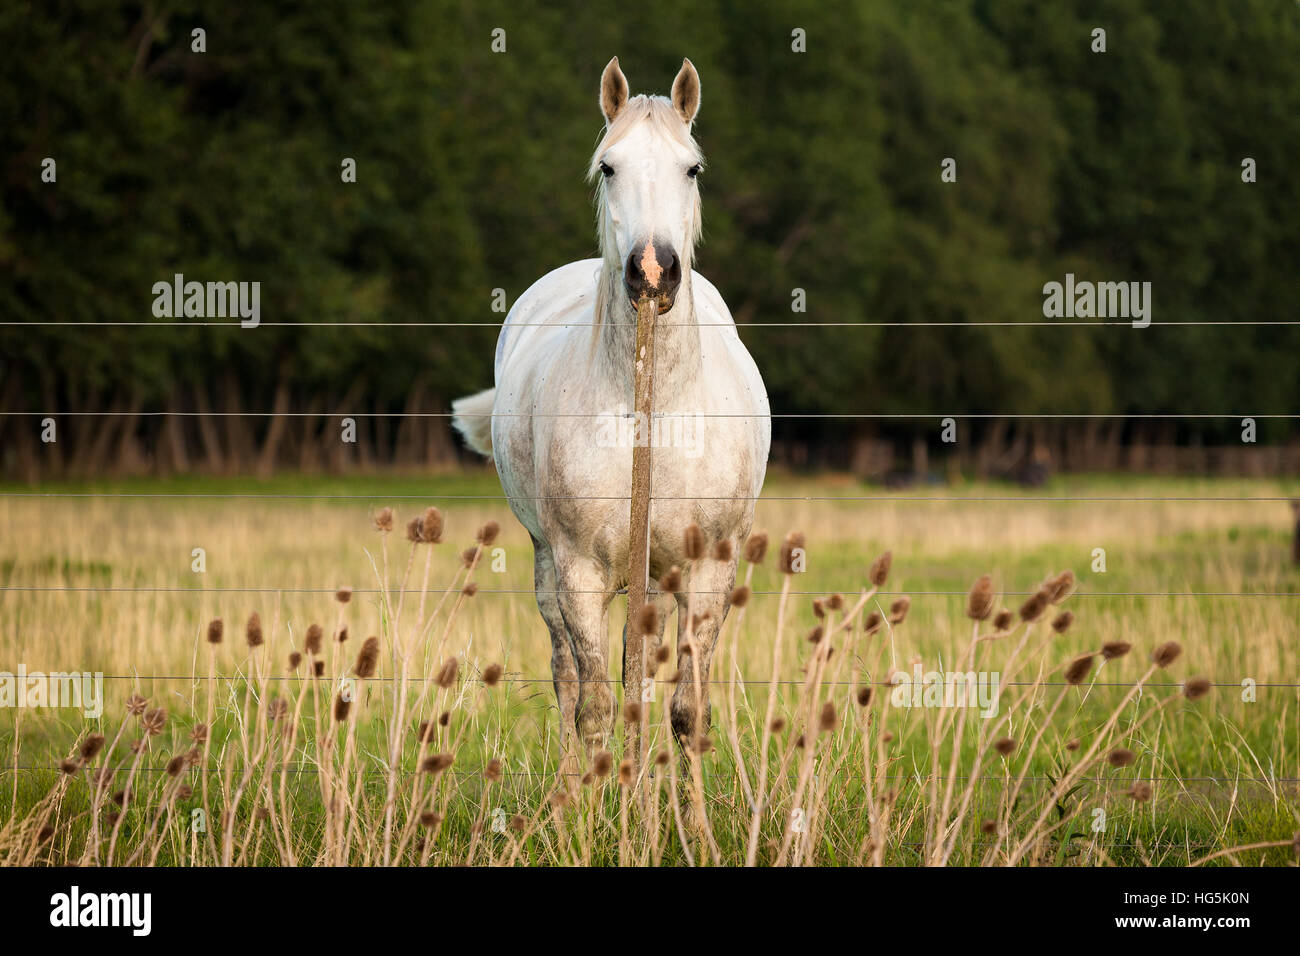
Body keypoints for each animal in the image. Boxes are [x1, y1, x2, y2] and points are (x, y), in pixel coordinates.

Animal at [452, 57, 770, 777]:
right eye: (608, 167)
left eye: (693, 168)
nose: (652, 269)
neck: (654, 409)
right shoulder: (579, 571)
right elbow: (593, 703)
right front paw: (597, 802)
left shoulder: (707, 571)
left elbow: (685, 709)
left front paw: (686, 808)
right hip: (551, 567)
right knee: (569, 677)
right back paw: (573, 785)